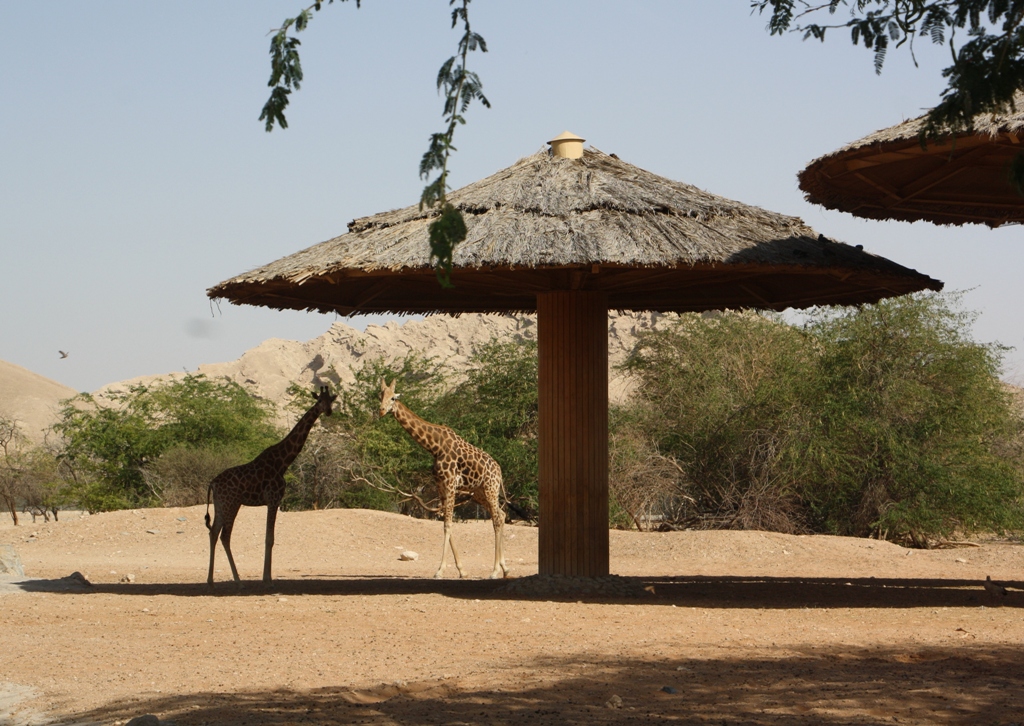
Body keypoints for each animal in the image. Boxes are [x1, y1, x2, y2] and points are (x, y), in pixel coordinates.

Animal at [203, 385, 335, 581]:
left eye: (330, 400)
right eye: (319, 400)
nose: (328, 411)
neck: (283, 463)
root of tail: (212, 483)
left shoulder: (273, 501)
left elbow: (269, 537)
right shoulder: (274, 499)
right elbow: (269, 538)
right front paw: (267, 579)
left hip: (220, 505)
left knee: (213, 532)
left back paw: (210, 581)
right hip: (232, 503)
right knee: (225, 536)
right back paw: (238, 581)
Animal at [376, 378, 507, 577]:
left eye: (393, 398)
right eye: (380, 396)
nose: (382, 411)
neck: (434, 446)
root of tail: (499, 470)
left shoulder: (450, 483)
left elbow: (448, 525)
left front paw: (440, 570)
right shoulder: (440, 485)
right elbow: (446, 523)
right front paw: (462, 571)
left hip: (491, 488)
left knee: (497, 519)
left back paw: (494, 571)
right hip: (479, 493)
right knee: (501, 514)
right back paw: (505, 568)